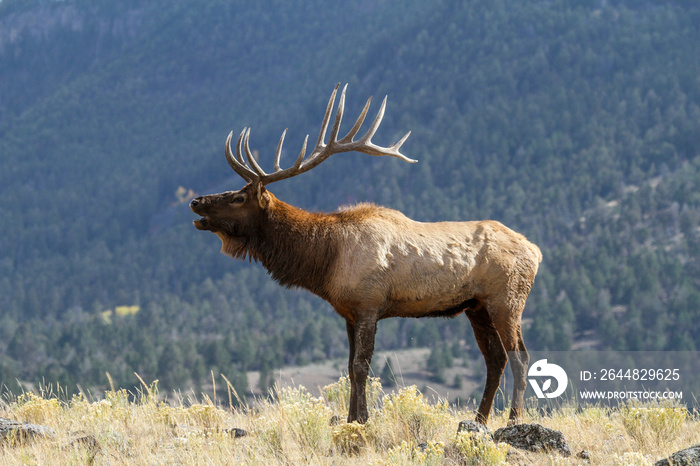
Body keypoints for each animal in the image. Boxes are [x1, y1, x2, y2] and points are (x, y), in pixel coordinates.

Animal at [190, 83, 540, 426]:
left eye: (238, 197)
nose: (195, 201)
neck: (325, 261)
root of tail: (535, 251)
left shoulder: (369, 304)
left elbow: (361, 367)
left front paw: (361, 419)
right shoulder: (348, 312)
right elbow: (349, 368)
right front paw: (352, 417)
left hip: (507, 299)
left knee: (519, 356)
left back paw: (513, 418)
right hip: (475, 306)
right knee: (495, 358)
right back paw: (479, 419)